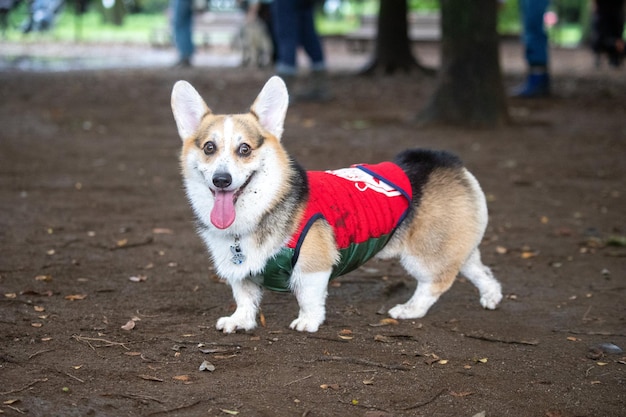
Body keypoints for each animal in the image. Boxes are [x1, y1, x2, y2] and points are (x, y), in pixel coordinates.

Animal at [171, 76, 502, 334]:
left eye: (244, 149)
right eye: (209, 148)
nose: (222, 180)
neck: (262, 208)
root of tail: (445, 160)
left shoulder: (313, 265)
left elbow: (309, 297)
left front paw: (308, 322)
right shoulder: (240, 271)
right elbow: (244, 297)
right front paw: (240, 320)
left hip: (425, 251)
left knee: (436, 282)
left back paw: (409, 309)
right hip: (453, 243)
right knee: (478, 268)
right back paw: (491, 296)